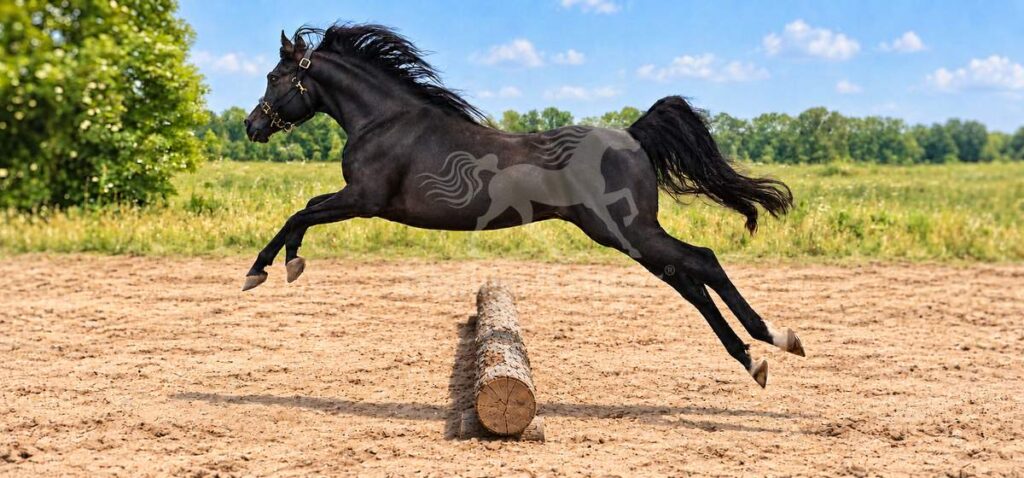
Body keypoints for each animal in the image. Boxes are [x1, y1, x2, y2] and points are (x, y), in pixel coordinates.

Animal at [242, 24, 804, 387]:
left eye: (273, 76)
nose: (252, 125)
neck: (386, 120)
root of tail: (632, 135)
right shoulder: (359, 200)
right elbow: (304, 209)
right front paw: (289, 263)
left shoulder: (364, 199)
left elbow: (299, 212)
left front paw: (264, 270)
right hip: (630, 237)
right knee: (688, 281)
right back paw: (753, 361)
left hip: (628, 230)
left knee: (702, 262)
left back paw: (776, 339)